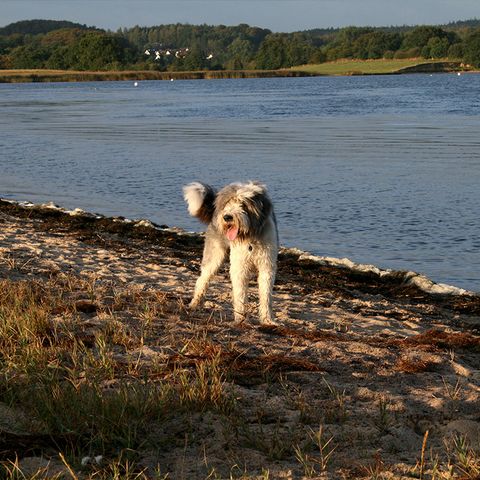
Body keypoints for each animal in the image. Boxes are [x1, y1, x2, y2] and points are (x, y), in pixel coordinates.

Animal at [185, 182, 282, 324]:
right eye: (228, 203)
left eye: (243, 204)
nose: (227, 217)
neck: (250, 238)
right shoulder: (239, 266)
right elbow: (240, 293)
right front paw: (241, 319)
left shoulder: (267, 265)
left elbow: (266, 295)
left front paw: (267, 320)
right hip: (214, 254)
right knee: (202, 279)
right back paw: (194, 303)